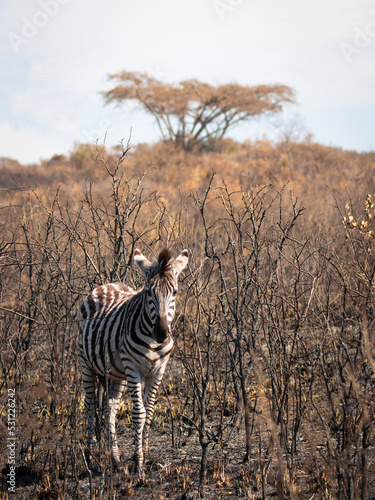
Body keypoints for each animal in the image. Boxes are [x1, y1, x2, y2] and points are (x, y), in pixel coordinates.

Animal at [77, 249, 188, 472]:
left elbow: (150, 411)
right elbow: (139, 413)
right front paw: (138, 463)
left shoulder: (158, 370)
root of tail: (106, 285)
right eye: (148, 293)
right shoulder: (133, 368)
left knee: (109, 408)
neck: (153, 343)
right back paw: (90, 457)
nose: (161, 333)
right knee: (90, 405)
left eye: (175, 292)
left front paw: (144, 454)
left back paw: (115, 459)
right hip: (87, 364)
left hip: (116, 373)